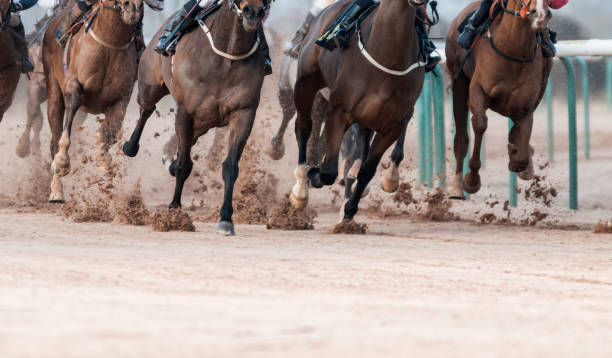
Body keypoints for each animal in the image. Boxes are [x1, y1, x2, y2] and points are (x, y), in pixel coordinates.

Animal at [43, 0, 143, 203]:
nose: (133, 7)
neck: (110, 43)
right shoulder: (74, 86)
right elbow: (65, 135)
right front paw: (62, 163)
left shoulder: (121, 100)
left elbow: (109, 133)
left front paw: (104, 162)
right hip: (53, 90)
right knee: (54, 138)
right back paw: (56, 191)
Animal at [122, 0, 268, 235]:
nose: (252, 11)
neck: (227, 57)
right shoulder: (185, 112)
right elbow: (182, 164)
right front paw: (174, 211)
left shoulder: (244, 113)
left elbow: (230, 166)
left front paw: (226, 218)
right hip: (150, 85)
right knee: (146, 110)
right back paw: (130, 146)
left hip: (203, 122)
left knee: (188, 142)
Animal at [290, 0, 426, 221]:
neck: (388, 57)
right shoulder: (339, 111)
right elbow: (328, 171)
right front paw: (314, 175)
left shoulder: (393, 124)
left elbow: (367, 170)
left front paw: (349, 210)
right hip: (305, 83)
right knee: (303, 127)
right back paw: (301, 189)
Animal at [448, 0, 552, 199]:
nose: (540, 14)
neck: (513, 50)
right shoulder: (478, 91)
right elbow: (480, 125)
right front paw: (472, 180)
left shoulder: (526, 106)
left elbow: (521, 154)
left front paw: (520, 159)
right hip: (458, 83)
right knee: (461, 138)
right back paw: (456, 186)